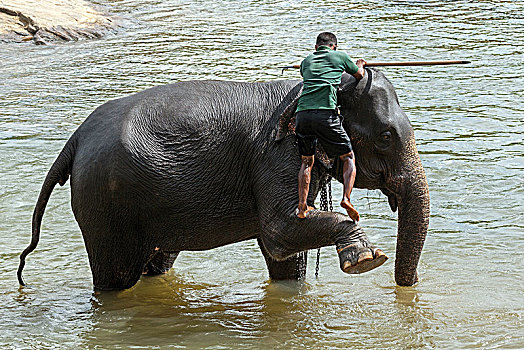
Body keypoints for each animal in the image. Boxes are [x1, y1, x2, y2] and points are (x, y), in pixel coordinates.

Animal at [19, 68, 430, 290]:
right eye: (386, 136)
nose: (407, 289)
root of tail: (75, 140)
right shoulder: (278, 155)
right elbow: (279, 231)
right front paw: (366, 259)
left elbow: (284, 253)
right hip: (106, 203)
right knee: (116, 279)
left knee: (158, 263)